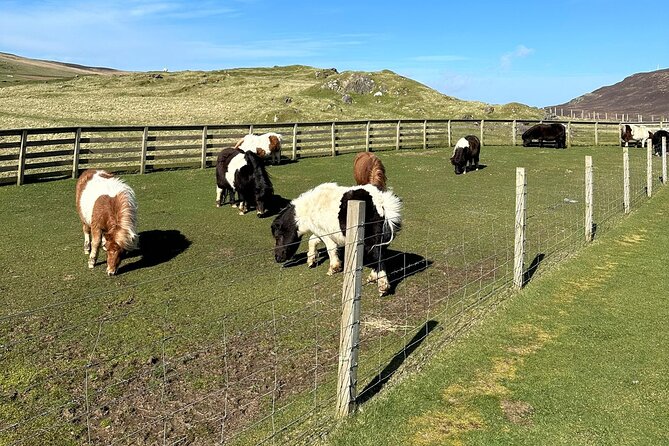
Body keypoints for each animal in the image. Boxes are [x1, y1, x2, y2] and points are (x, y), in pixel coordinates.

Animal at [270, 183, 402, 296]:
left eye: (277, 236)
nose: (277, 258)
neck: (310, 208)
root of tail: (381, 200)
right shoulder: (320, 232)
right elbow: (312, 241)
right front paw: (311, 260)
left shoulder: (326, 234)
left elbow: (330, 249)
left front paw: (333, 268)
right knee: (379, 254)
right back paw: (373, 278)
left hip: (371, 240)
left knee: (378, 256)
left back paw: (383, 286)